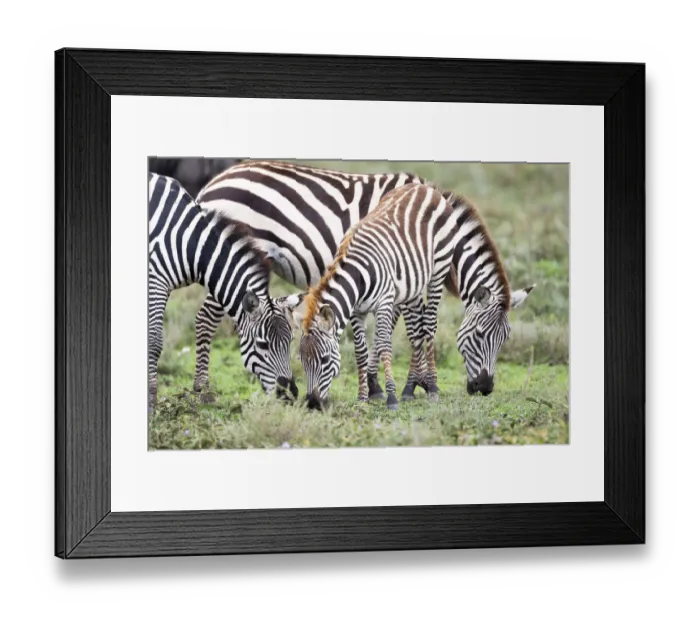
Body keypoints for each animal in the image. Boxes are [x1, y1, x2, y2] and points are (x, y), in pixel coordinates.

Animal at [148, 173, 304, 410]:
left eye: (291, 340)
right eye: (263, 344)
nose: (289, 394)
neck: (190, 245)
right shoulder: (156, 279)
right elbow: (154, 341)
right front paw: (152, 400)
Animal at [192, 159, 430, 400]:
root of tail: (214, 182)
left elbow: (396, 328)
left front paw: (380, 384)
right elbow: (415, 328)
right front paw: (413, 385)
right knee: (205, 319)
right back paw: (202, 385)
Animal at [299, 184, 536, 407]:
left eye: (325, 359)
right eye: (301, 359)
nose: (312, 403)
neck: (358, 273)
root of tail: (425, 189)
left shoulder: (387, 300)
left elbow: (386, 341)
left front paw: (393, 395)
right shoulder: (359, 309)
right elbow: (361, 349)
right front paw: (364, 397)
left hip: (436, 272)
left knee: (429, 325)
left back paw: (432, 387)